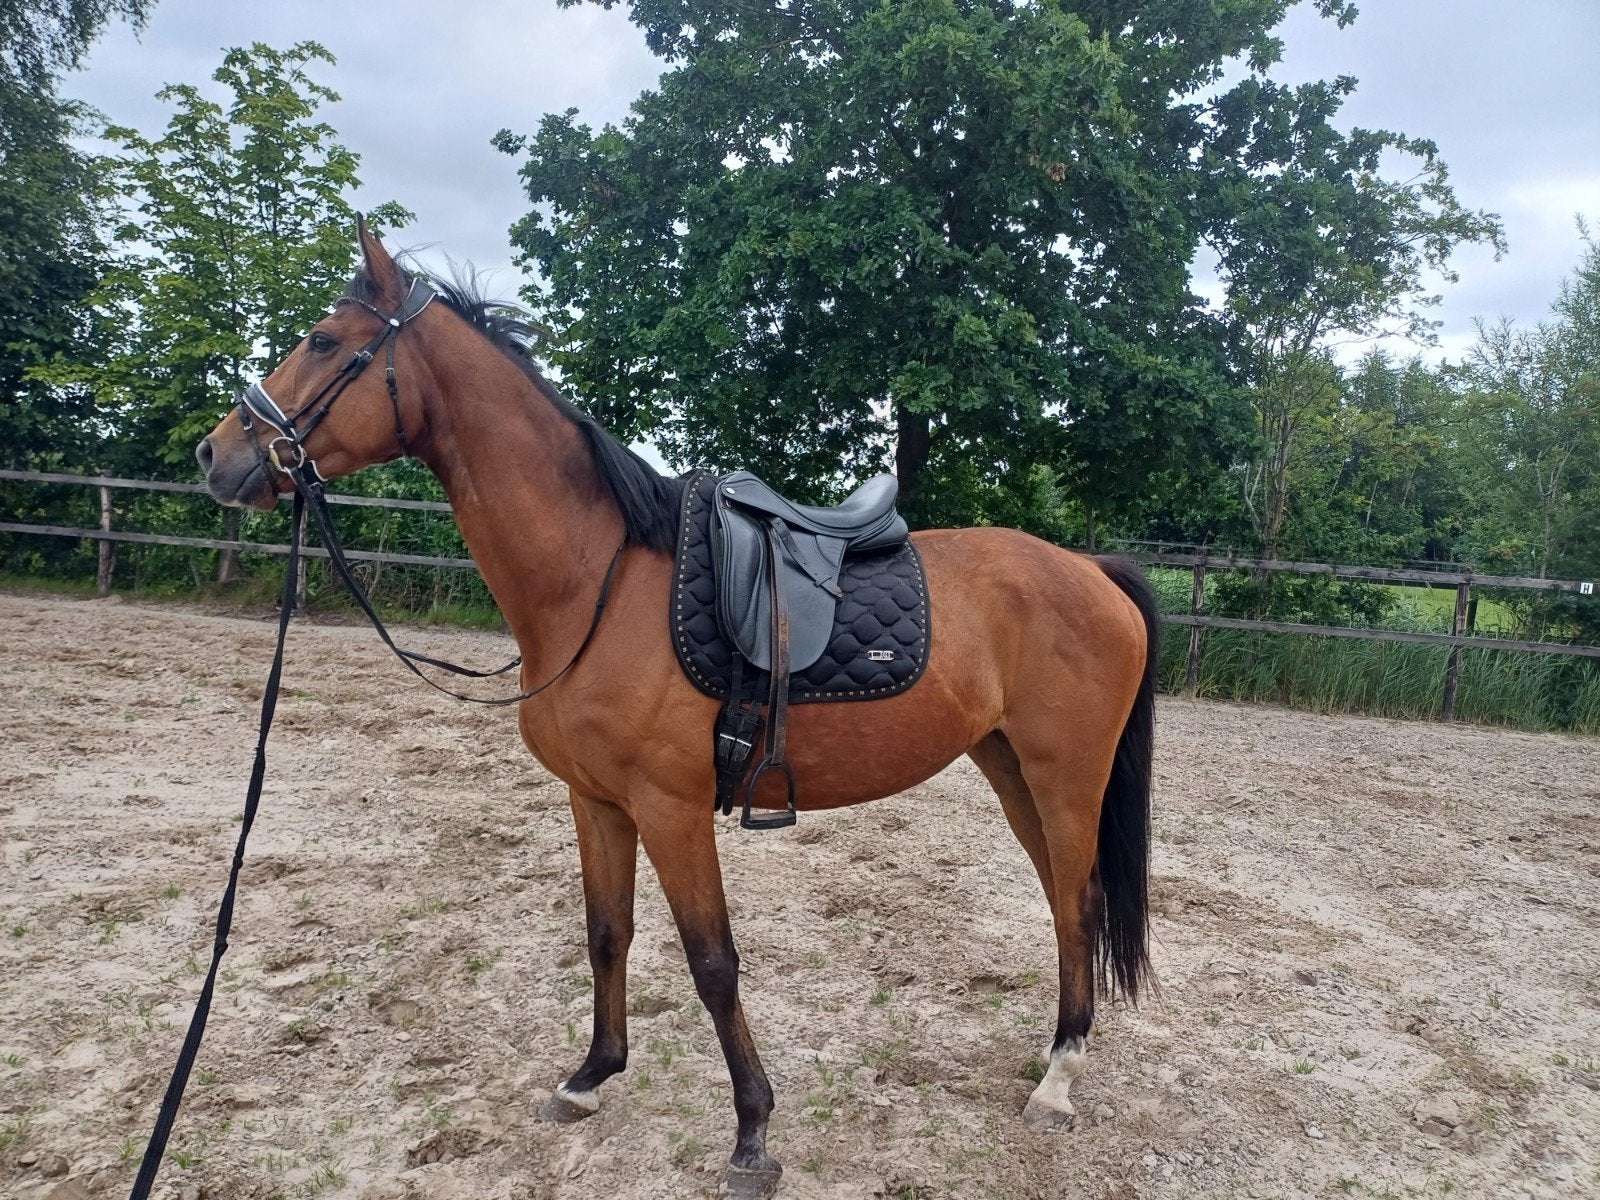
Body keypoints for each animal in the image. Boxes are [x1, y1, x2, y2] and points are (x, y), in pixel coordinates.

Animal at [196, 226, 1157, 1198]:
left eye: (324, 341)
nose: (215, 453)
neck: (596, 582)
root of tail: (1091, 570)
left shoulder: (673, 807)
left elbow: (712, 962)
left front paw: (753, 1135)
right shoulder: (597, 802)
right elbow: (606, 935)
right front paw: (591, 1076)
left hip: (1065, 777)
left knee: (1078, 901)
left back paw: (1059, 1079)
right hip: (1009, 768)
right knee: (1064, 898)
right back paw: (1056, 1055)